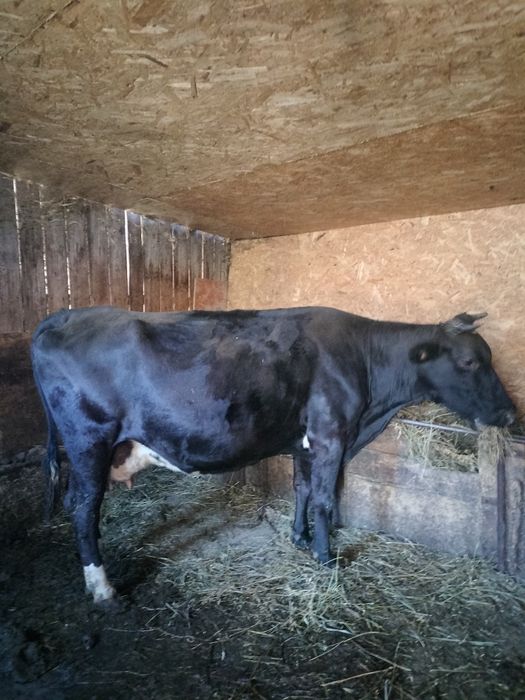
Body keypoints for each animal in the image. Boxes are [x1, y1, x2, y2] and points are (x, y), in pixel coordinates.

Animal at [31, 306, 516, 604]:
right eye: (471, 362)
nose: (511, 413)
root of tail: (68, 313)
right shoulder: (331, 435)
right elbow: (325, 498)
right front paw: (326, 557)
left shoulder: (305, 441)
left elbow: (302, 489)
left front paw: (299, 538)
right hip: (89, 440)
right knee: (83, 507)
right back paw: (102, 588)